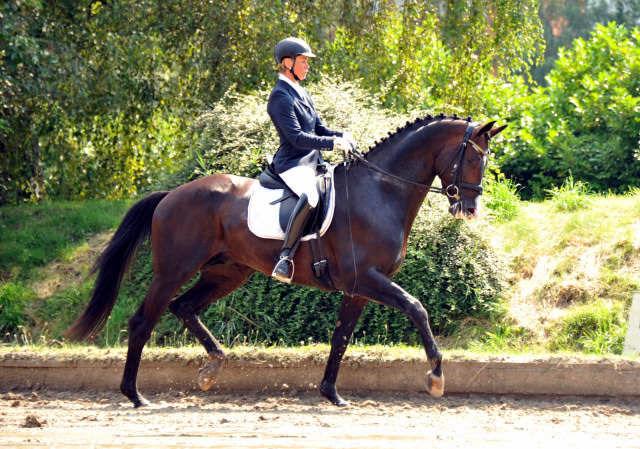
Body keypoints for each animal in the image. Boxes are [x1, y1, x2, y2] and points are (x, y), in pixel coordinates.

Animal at [65, 113, 504, 406]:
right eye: (471, 159)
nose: (470, 209)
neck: (380, 190)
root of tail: (170, 195)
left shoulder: (358, 288)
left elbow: (341, 338)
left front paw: (332, 394)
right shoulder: (368, 279)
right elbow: (417, 308)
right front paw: (435, 377)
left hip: (227, 272)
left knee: (184, 307)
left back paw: (212, 367)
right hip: (173, 270)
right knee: (144, 320)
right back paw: (135, 396)